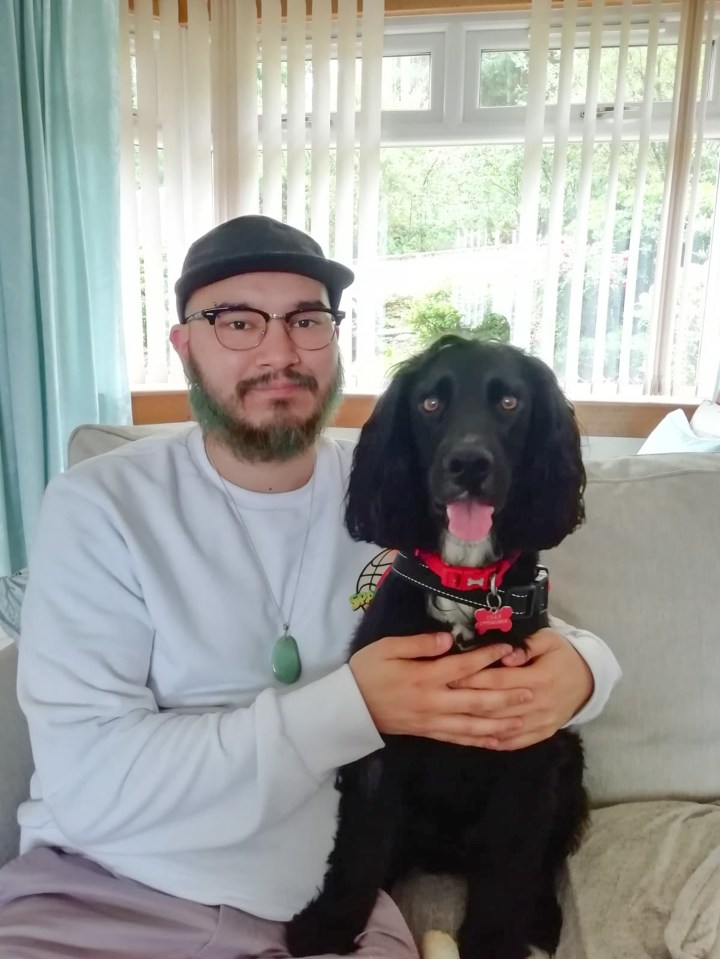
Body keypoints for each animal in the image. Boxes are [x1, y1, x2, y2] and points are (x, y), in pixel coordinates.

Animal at [286, 338, 592, 959]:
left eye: (509, 401)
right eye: (429, 403)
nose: (468, 465)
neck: (465, 591)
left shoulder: (524, 749)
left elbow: (510, 864)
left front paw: (495, 942)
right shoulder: (380, 742)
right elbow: (358, 846)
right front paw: (329, 924)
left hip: (565, 752)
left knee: (541, 860)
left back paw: (542, 917)